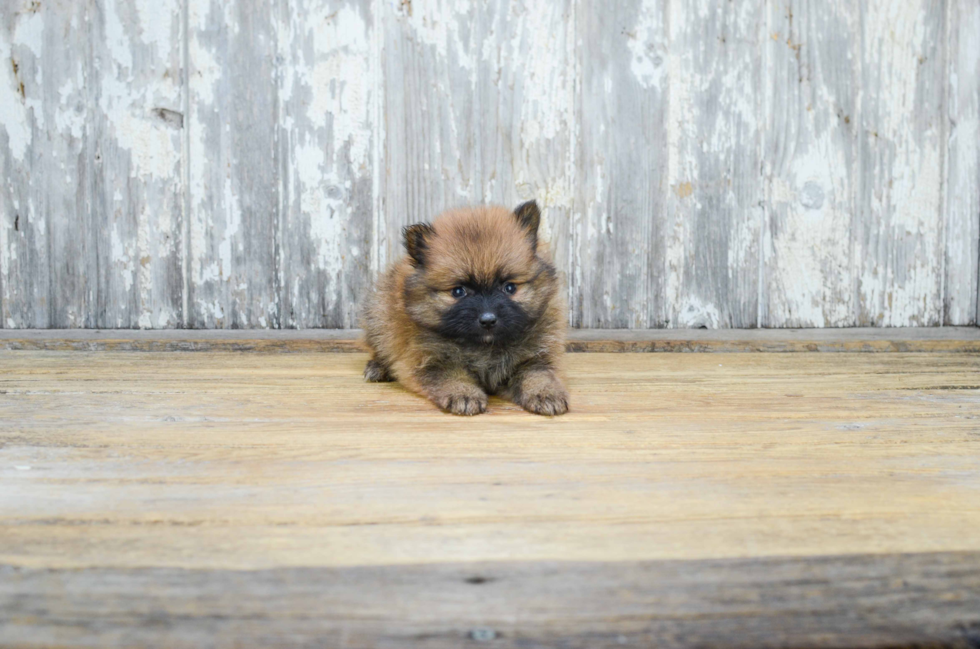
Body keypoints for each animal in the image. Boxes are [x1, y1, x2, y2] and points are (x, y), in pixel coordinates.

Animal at [362, 200, 572, 418]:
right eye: (458, 291)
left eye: (510, 288)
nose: (488, 320)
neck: (484, 346)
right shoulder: (429, 360)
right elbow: (451, 374)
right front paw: (463, 394)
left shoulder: (536, 357)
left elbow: (539, 374)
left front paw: (545, 393)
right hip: (379, 319)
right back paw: (378, 367)